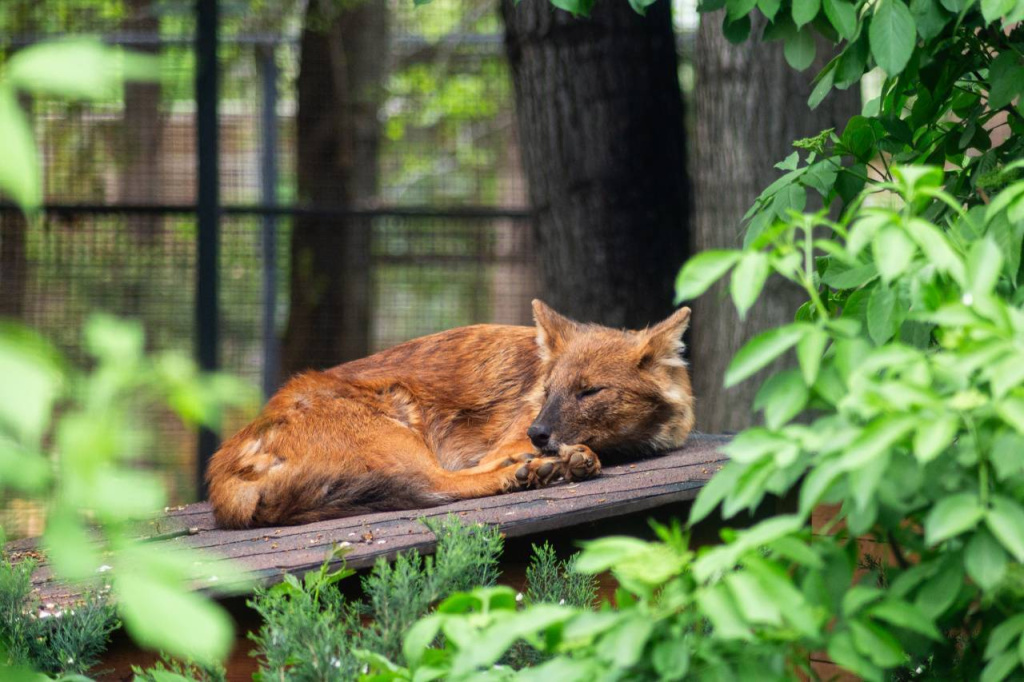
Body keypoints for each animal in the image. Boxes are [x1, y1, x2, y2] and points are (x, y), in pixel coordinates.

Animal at [207, 300, 695, 528]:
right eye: (547, 390)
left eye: (589, 391)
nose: (537, 434)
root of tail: (224, 466)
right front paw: (554, 460)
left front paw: (570, 458)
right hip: (398, 425)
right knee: (440, 483)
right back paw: (525, 470)